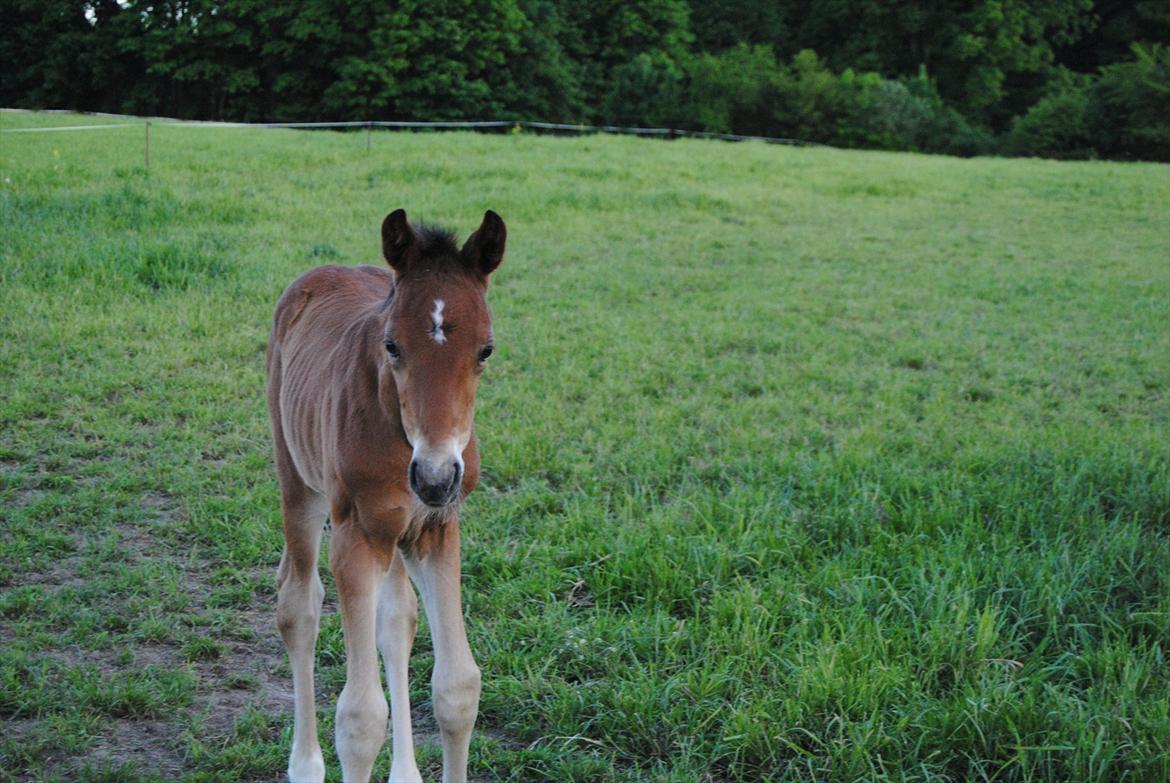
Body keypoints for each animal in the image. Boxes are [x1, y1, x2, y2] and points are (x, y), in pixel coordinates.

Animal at [267, 209, 505, 781]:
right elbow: (360, 718)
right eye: (392, 345)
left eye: (486, 350)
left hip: (397, 530)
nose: (436, 477)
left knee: (396, 618)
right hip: (299, 481)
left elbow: (457, 687)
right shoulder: (356, 534)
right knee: (298, 604)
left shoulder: (436, 529)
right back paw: (305, 767)